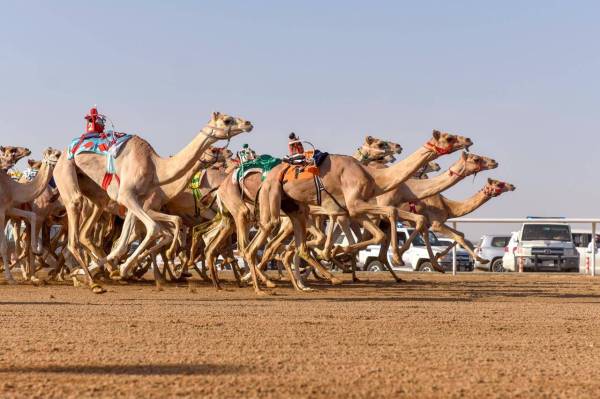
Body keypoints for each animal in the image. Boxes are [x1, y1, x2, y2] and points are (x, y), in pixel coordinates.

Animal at [0, 148, 61, 282]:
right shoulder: (1, 211)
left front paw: (36, 249)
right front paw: (10, 278)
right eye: (53, 154)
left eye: (59, 153)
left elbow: (32, 215)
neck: (12, 188)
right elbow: (4, 246)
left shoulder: (8, 209)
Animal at [244, 130, 474, 294]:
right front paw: (397, 257)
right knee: (258, 245)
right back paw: (261, 286)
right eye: (448, 137)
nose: (468, 139)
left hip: (295, 210)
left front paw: (340, 254)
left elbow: (376, 234)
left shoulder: (353, 210)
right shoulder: (352, 206)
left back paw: (305, 284)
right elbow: (390, 213)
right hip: (273, 202)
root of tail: (266, 178)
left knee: (289, 247)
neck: (374, 178)